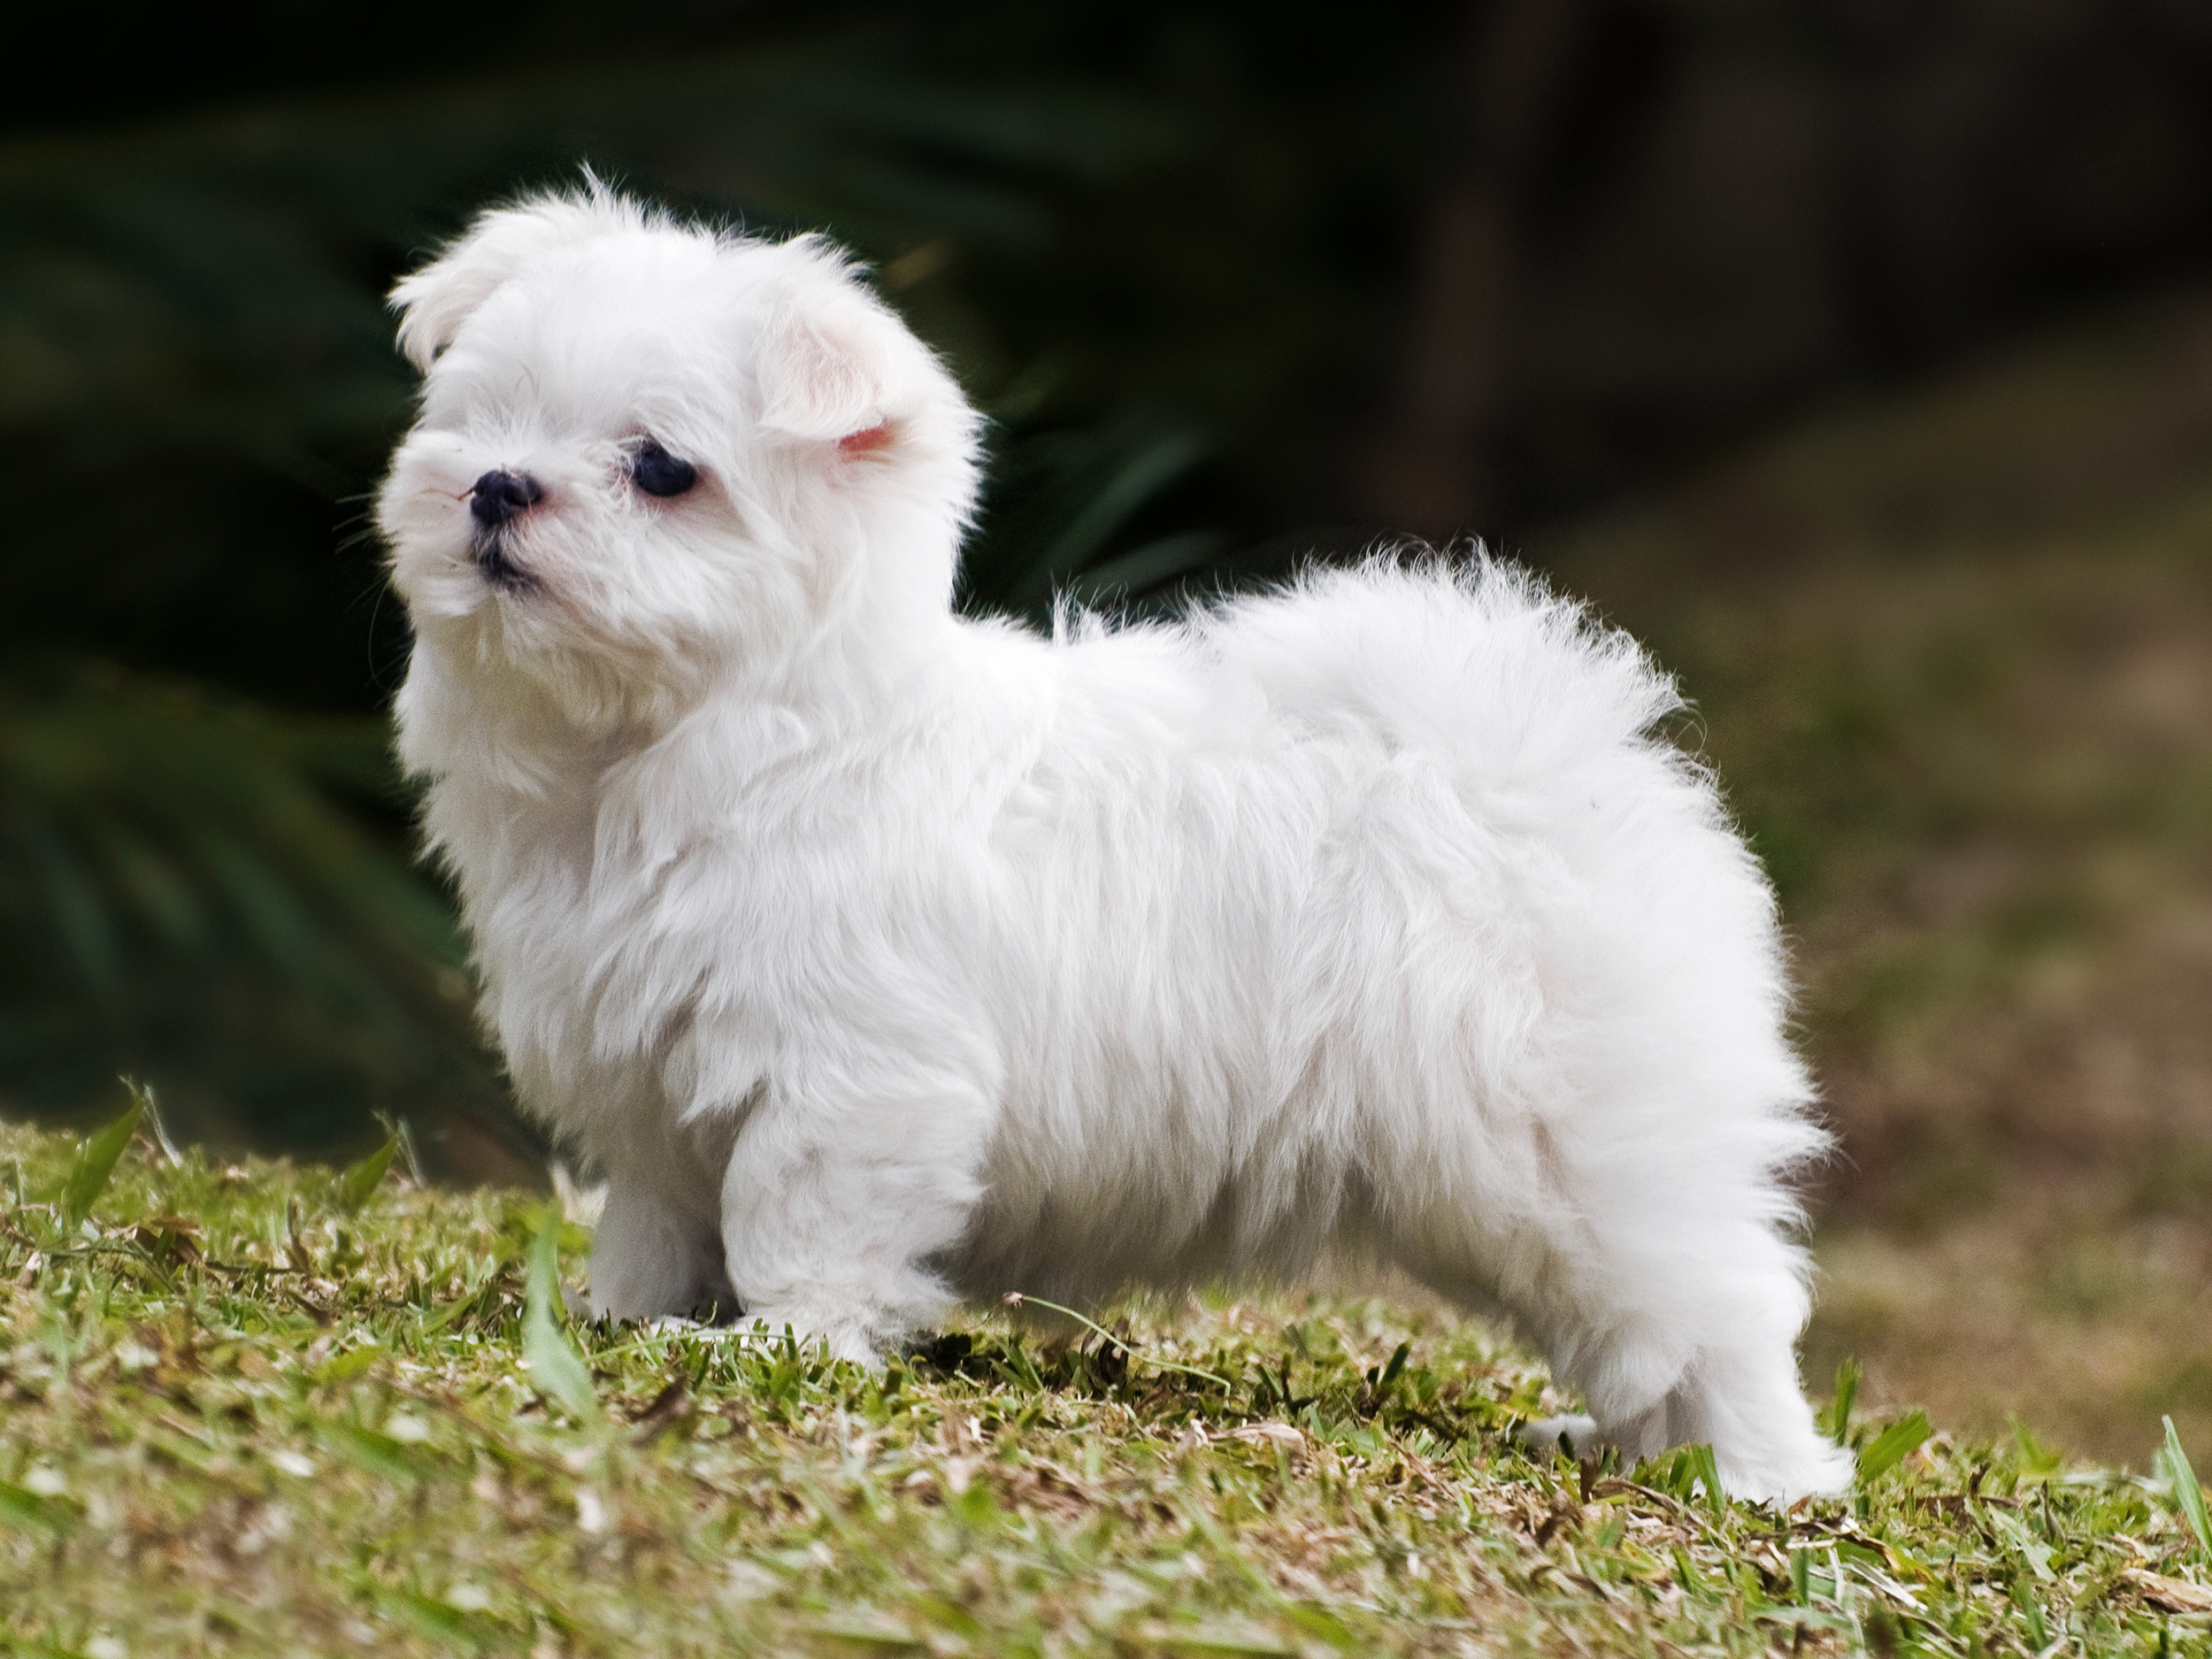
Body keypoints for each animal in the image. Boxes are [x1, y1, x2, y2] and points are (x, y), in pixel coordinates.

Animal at [376, 184, 1849, 1504]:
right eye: (482, 420)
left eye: (661, 468)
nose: (498, 486)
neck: (670, 746)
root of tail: (1543, 756)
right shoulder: (649, 1073)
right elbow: (660, 1215)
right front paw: (618, 1315)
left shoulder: (855, 1076)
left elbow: (801, 1214)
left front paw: (786, 1339)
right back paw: (1626, 1446)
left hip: (1573, 1147)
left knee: (1716, 1303)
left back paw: (1759, 1475)